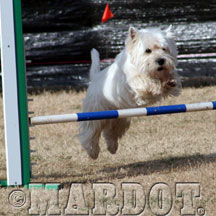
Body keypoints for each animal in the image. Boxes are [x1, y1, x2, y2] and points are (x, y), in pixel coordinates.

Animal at [79, 26, 181, 159]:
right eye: (147, 50)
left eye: (164, 49)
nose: (161, 60)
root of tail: (95, 77)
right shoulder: (134, 83)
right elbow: (145, 82)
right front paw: (156, 85)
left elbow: (170, 82)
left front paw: (170, 82)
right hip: (95, 113)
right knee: (90, 132)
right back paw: (93, 152)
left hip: (119, 118)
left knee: (110, 132)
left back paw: (112, 148)